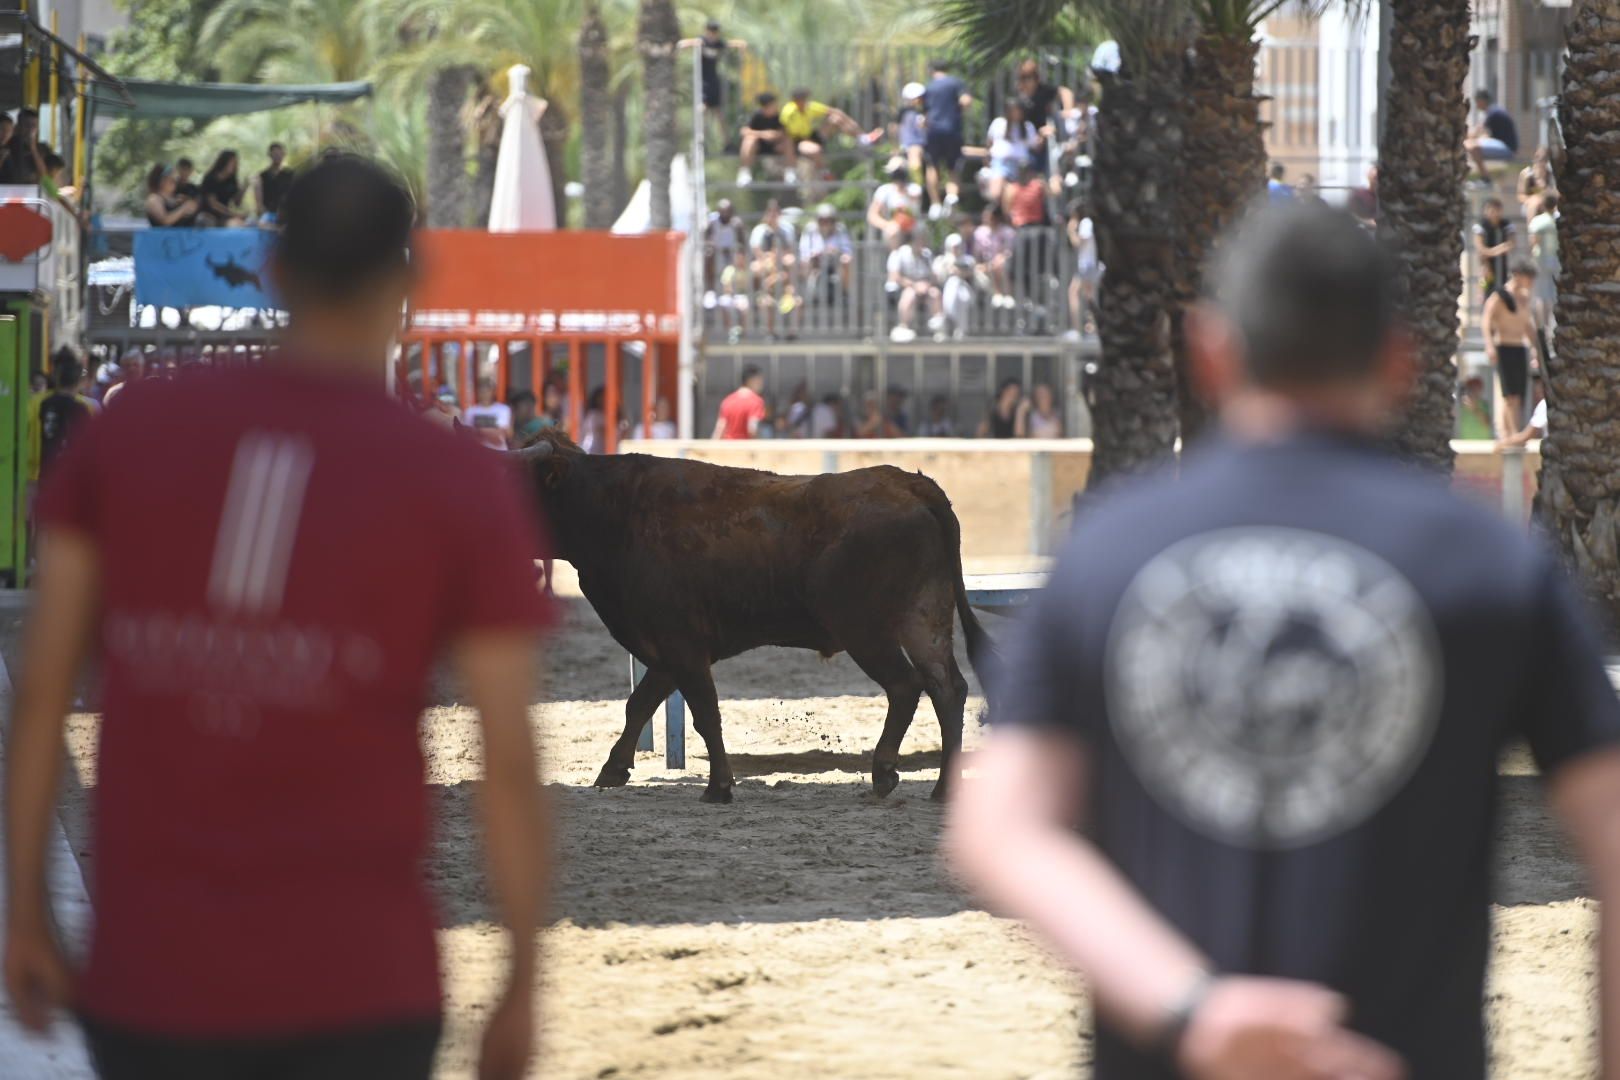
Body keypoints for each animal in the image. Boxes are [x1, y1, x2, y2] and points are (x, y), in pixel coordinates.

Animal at [508, 430, 984, 803]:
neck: (615, 512)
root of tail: (908, 483)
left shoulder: (681, 644)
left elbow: (704, 712)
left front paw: (718, 787)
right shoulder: (666, 649)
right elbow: (639, 703)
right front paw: (613, 770)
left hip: (865, 630)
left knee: (906, 686)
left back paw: (884, 772)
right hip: (924, 617)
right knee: (947, 688)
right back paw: (943, 789)